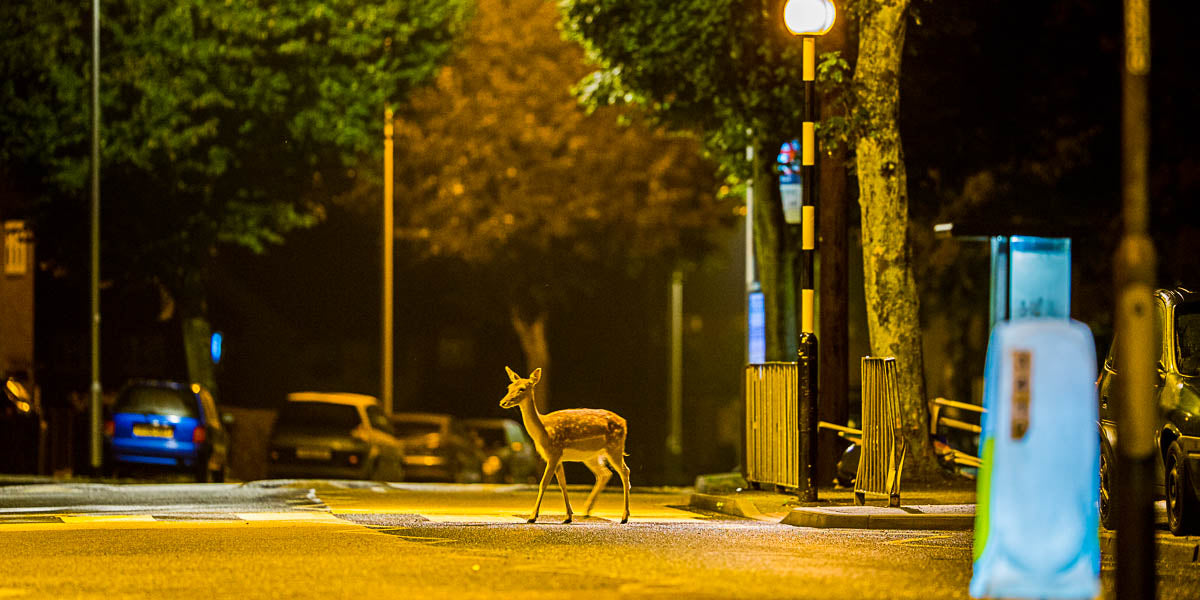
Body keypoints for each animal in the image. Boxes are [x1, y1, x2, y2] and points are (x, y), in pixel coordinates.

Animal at [496, 362, 633, 523]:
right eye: (509, 387)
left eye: (522, 388)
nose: (503, 402)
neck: (543, 431)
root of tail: (624, 422)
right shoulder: (556, 457)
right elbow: (563, 484)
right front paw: (568, 516)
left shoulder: (554, 452)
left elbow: (543, 483)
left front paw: (532, 516)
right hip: (592, 456)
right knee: (605, 473)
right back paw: (587, 511)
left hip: (615, 447)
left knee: (624, 471)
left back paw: (624, 516)